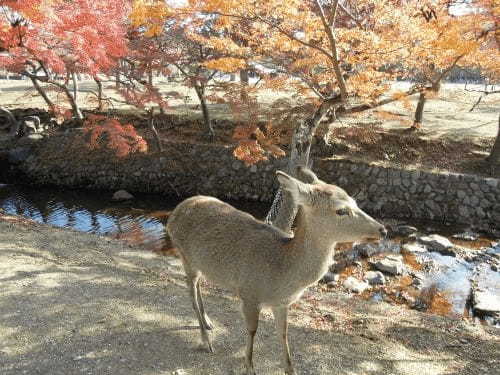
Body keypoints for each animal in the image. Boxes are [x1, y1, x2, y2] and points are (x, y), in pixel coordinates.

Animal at [166, 169, 384, 374]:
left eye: (355, 202)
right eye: (341, 210)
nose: (383, 229)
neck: (280, 276)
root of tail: (174, 214)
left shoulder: (282, 303)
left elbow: (283, 332)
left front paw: (290, 369)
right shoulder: (249, 294)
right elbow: (252, 330)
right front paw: (249, 367)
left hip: (199, 263)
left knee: (198, 288)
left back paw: (208, 322)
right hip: (185, 256)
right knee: (191, 295)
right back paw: (206, 341)